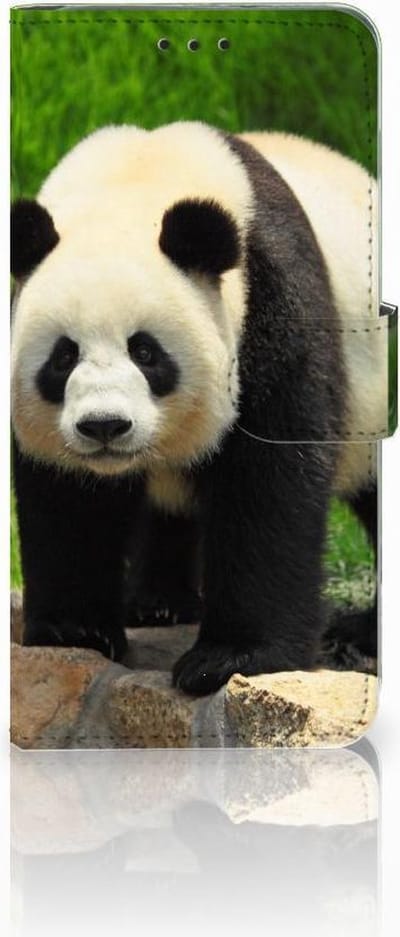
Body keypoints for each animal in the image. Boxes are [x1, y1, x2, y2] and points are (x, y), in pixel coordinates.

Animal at [11, 121, 385, 696]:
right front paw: (75, 631)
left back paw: (359, 634)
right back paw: (158, 603)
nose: (104, 426)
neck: (136, 181)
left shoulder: (270, 303)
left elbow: (270, 480)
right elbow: (67, 497)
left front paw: (230, 658)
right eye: (63, 356)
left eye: (145, 352)